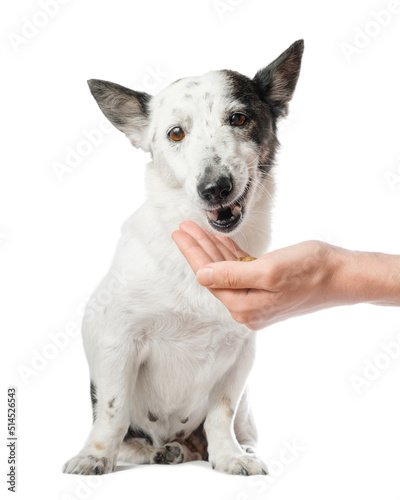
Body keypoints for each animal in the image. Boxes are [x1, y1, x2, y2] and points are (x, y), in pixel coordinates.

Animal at [63, 40, 304, 476]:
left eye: (239, 119)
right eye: (176, 133)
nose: (215, 188)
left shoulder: (240, 357)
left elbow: (220, 414)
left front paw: (229, 457)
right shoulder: (116, 343)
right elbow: (112, 412)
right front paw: (95, 456)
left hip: (247, 409)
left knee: (229, 431)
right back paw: (155, 450)